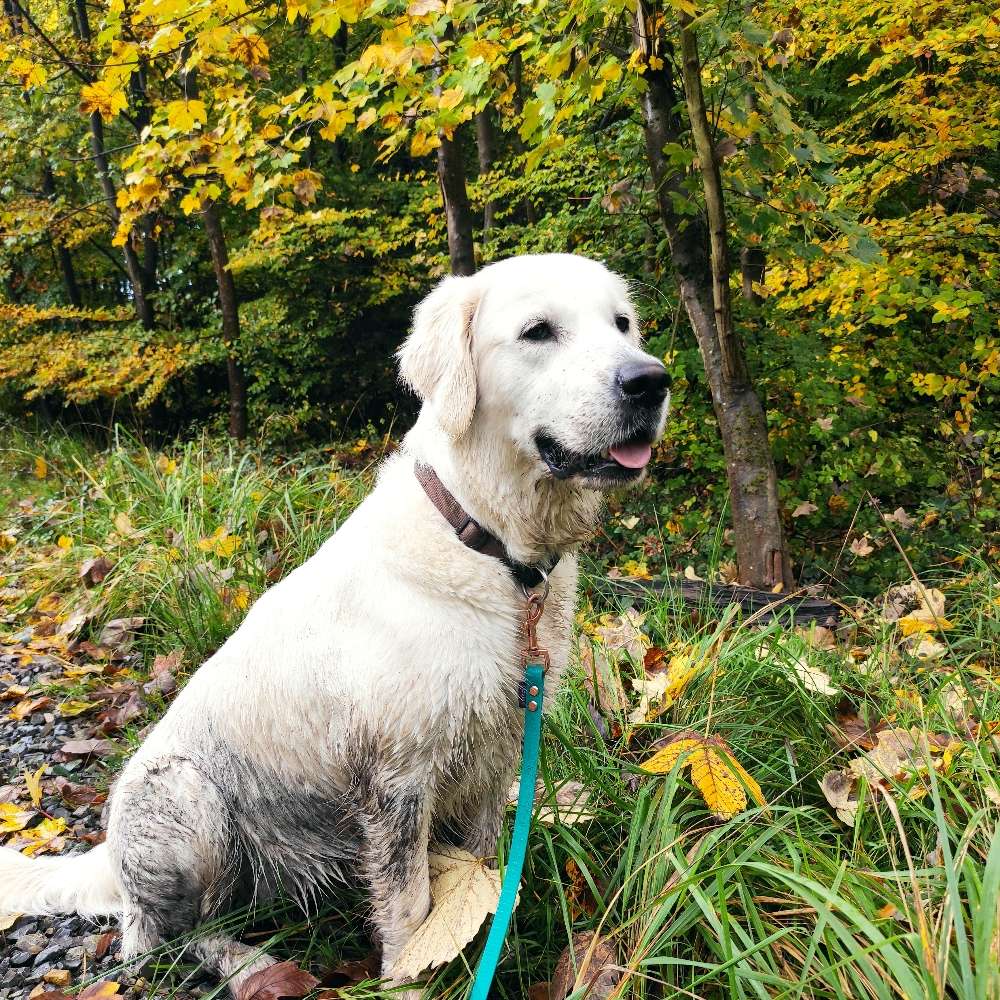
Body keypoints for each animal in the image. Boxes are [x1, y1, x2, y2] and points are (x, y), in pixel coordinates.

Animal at [3, 252, 672, 992]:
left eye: (622, 323)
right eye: (538, 331)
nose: (651, 380)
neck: (491, 545)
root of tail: (109, 861)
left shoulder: (495, 755)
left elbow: (483, 867)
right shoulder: (397, 778)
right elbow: (410, 908)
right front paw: (412, 981)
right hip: (184, 796)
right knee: (155, 939)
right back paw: (247, 962)